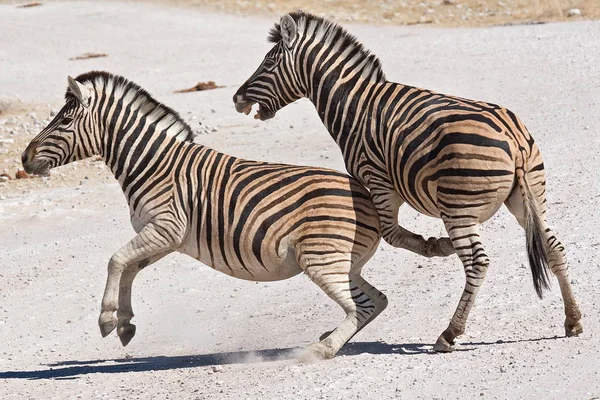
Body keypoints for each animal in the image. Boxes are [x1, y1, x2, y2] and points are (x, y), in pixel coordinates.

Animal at [19, 71, 390, 360]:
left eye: (65, 121)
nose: (23, 159)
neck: (153, 165)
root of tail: (367, 199)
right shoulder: (167, 237)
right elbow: (128, 268)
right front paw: (124, 322)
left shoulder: (166, 227)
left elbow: (116, 260)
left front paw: (108, 318)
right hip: (343, 263)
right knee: (376, 301)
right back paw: (329, 341)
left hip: (320, 259)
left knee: (359, 307)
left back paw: (319, 350)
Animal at [233, 10, 580, 352]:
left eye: (269, 62)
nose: (237, 99)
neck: (353, 105)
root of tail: (512, 136)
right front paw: (437, 245)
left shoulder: (377, 180)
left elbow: (390, 234)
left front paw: (436, 246)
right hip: (530, 198)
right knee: (554, 247)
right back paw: (572, 319)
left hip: (458, 207)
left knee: (477, 263)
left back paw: (449, 333)